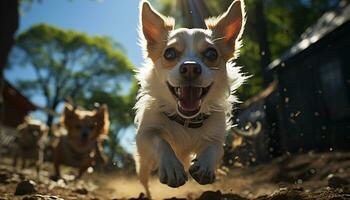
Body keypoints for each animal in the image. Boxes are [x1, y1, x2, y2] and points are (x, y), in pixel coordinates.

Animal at [134, 0, 246, 197]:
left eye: (211, 54)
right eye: (169, 53)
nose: (190, 68)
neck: (186, 120)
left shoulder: (216, 136)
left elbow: (215, 147)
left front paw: (205, 166)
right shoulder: (145, 135)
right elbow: (160, 141)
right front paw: (171, 167)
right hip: (145, 164)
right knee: (145, 180)